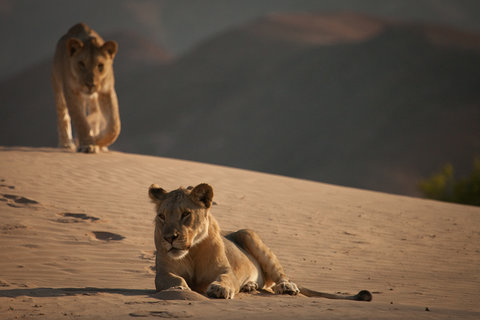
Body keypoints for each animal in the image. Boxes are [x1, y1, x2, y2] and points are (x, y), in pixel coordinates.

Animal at [50, 22, 121, 152]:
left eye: (100, 65)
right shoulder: (71, 91)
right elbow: (80, 120)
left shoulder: (106, 91)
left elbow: (114, 125)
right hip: (57, 85)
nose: (90, 84)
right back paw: (66, 144)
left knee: (94, 113)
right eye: (81, 64)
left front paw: (98, 141)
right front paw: (88, 144)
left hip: (93, 100)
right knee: (63, 115)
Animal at [148, 182, 374, 300]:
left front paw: (220, 289)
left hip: (249, 235)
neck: (192, 251)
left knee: (280, 276)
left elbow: (226, 279)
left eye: (186, 214)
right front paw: (179, 290)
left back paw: (286, 288)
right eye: (162, 216)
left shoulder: (225, 270)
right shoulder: (163, 272)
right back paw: (249, 286)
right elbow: (172, 280)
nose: (169, 238)